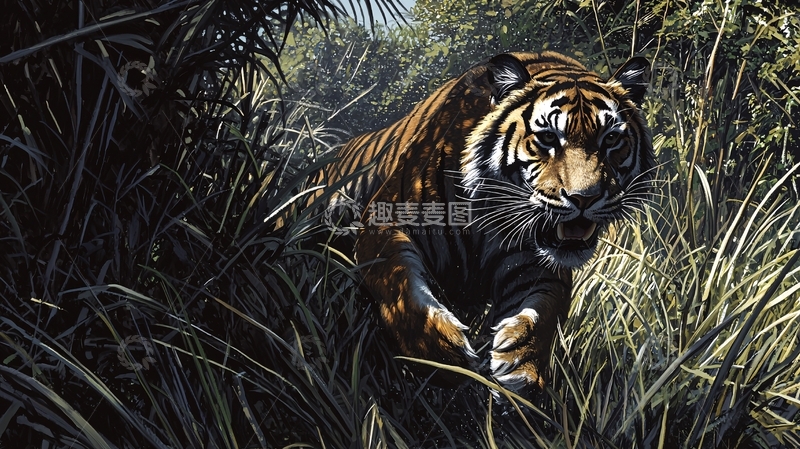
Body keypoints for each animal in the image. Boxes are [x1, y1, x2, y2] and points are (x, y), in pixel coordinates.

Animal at [320, 51, 654, 390]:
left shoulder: (536, 263)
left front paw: (519, 366)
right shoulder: (384, 222)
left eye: (611, 139)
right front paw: (444, 356)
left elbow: (543, 310)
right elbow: (400, 286)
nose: (584, 198)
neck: (487, 216)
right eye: (548, 137)